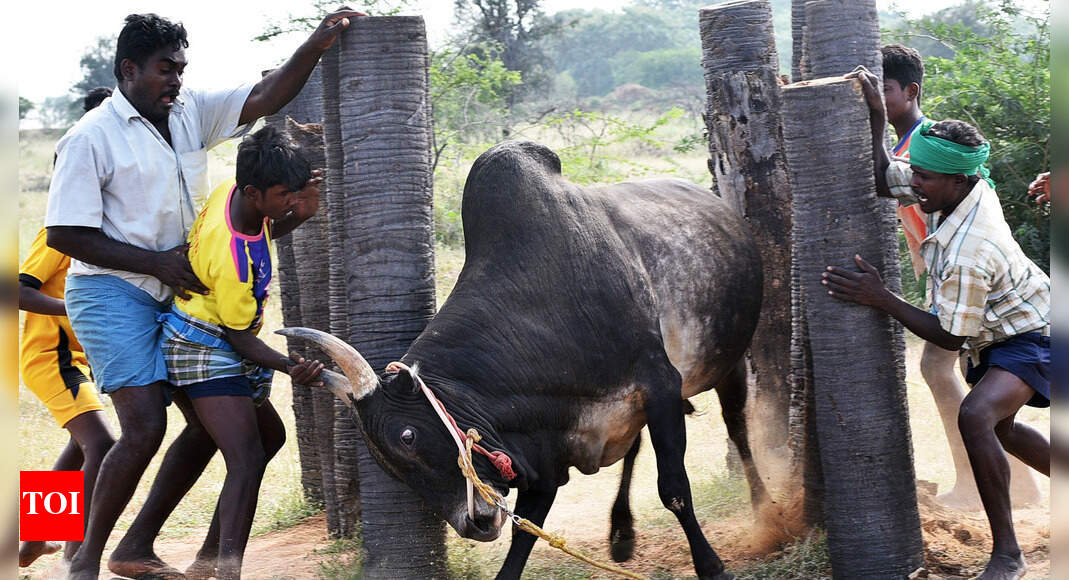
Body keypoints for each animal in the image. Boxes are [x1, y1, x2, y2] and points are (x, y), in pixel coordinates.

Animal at [281, 140, 767, 579]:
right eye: (389, 467)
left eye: (407, 436)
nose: (475, 523)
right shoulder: (541, 457)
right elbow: (525, 533)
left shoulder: (660, 383)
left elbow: (675, 489)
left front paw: (712, 567)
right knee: (636, 449)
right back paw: (622, 534)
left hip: (729, 362)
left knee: (737, 426)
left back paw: (764, 505)